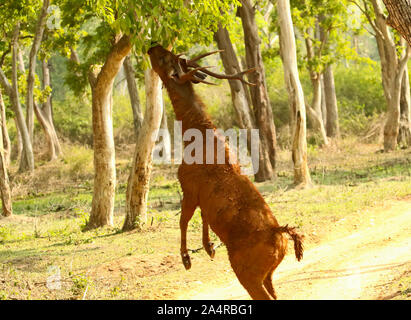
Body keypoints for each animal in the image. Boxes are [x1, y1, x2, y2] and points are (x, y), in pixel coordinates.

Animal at [147, 45, 302, 300]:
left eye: (166, 58)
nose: (152, 47)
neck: (193, 137)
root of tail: (280, 235)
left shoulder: (188, 186)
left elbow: (183, 220)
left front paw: (187, 259)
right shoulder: (201, 197)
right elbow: (203, 217)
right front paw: (209, 248)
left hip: (246, 271)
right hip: (268, 273)